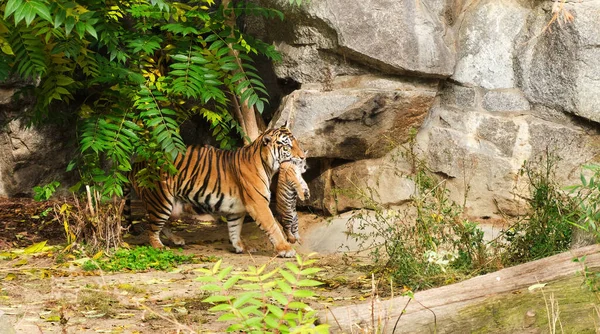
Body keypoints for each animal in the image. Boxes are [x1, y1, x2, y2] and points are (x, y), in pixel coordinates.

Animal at [126, 126, 304, 258]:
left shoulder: (236, 209)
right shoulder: (258, 204)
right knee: (152, 226)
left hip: (172, 205)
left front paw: (240, 247)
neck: (266, 165)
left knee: (159, 223)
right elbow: (273, 226)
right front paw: (285, 249)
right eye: (288, 146)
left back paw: (176, 239)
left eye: (296, 143)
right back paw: (158, 246)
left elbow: (234, 229)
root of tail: (138, 163)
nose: (303, 157)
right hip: (161, 199)